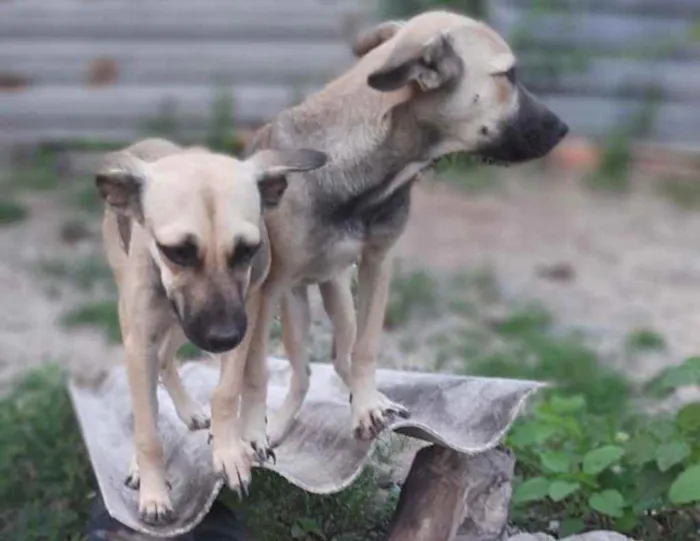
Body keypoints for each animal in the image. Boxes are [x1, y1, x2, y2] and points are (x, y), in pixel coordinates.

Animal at [95, 138, 326, 524]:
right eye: (176, 252)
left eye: (247, 249)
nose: (223, 337)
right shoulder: (140, 342)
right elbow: (147, 429)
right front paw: (154, 490)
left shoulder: (245, 314)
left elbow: (227, 392)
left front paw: (229, 451)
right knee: (151, 388)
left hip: (183, 323)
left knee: (167, 360)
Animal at [227, 10, 572, 452]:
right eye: (508, 76)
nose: (563, 128)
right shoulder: (267, 289)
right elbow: (255, 370)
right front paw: (252, 433)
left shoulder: (377, 262)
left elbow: (365, 348)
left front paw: (366, 405)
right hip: (292, 301)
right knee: (301, 371)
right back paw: (279, 423)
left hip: (336, 290)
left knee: (341, 354)